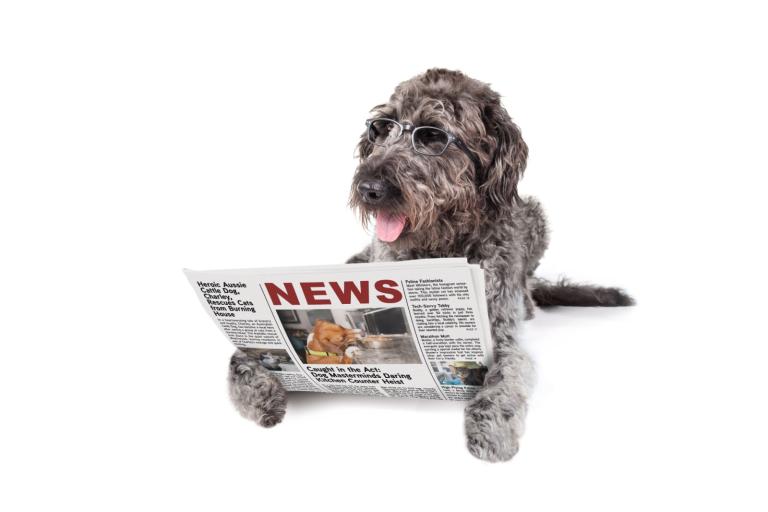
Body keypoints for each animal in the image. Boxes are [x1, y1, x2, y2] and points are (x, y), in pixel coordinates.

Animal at [230, 67, 636, 460]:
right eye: (382, 127)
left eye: (431, 135)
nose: (369, 188)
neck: (438, 244)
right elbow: (240, 356)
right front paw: (256, 387)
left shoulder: (499, 335)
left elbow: (505, 378)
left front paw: (492, 429)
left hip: (534, 214)